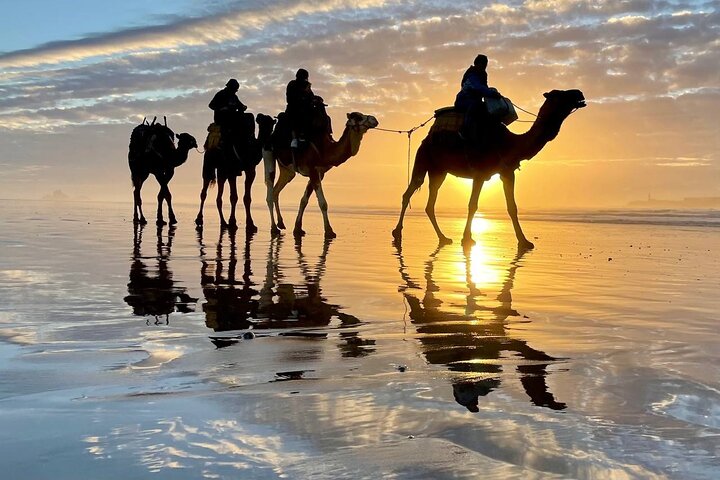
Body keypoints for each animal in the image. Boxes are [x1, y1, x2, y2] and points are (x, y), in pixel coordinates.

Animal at [392, 89, 586, 248]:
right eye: (560, 94)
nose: (579, 93)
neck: (509, 143)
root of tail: (427, 137)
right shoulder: (479, 173)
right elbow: (472, 204)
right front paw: (467, 238)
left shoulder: (507, 172)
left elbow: (512, 207)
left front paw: (524, 241)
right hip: (423, 158)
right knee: (409, 191)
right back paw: (397, 232)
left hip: (439, 171)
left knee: (430, 203)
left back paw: (443, 237)